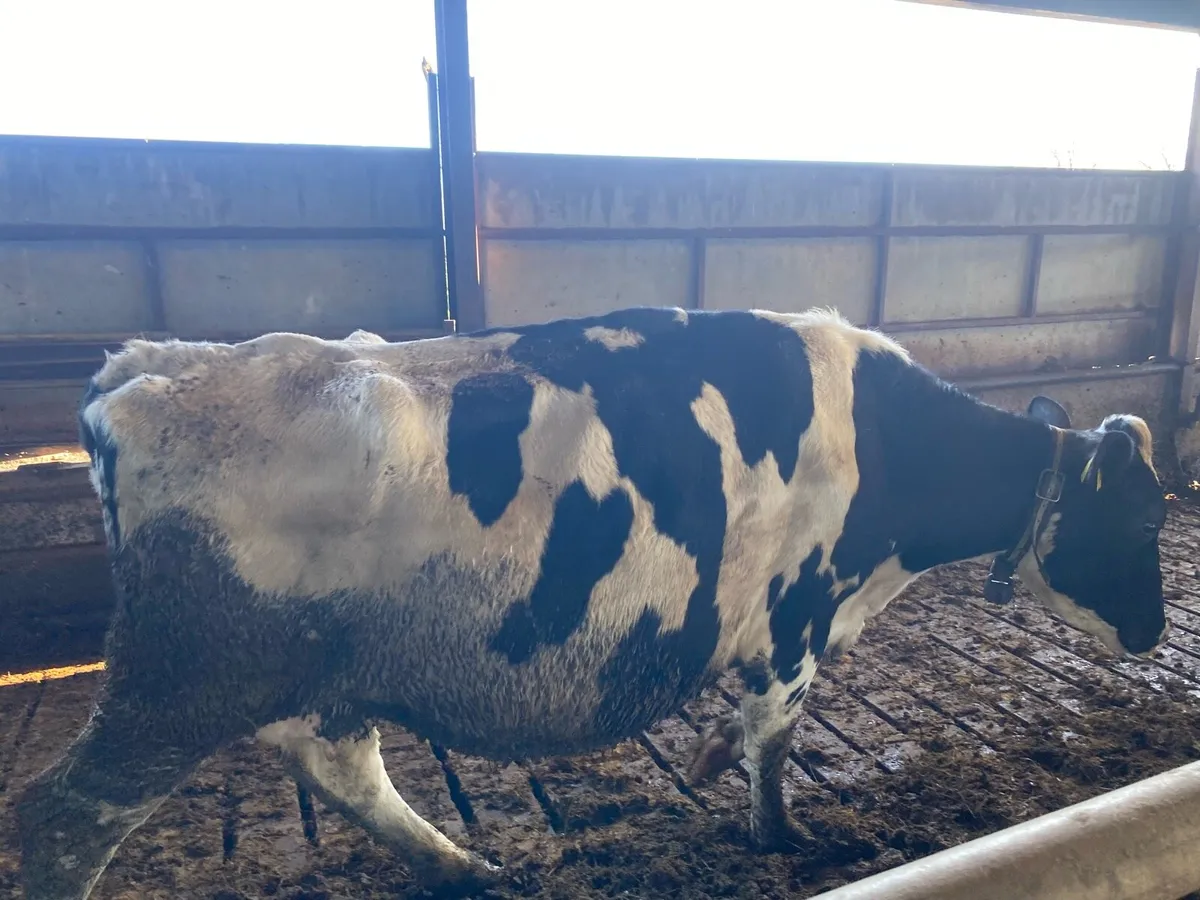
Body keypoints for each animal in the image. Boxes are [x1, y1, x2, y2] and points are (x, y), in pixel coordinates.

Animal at [16, 306, 1168, 900]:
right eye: (1145, 519)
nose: (1157, 632)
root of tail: (148, 367)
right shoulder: (794, 621)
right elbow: (773, 745)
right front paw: (781, 839)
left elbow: (747, 738)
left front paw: (714, 770)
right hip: (183, 678)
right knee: (63, 815)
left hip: (310, 670)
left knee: (340, 765)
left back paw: (467, 866)